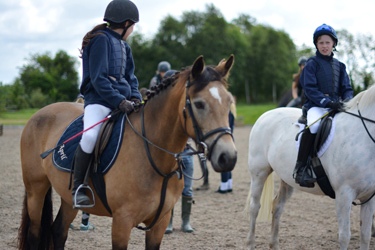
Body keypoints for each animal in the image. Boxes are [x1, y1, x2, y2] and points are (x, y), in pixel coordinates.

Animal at [18, 55, 238, 249]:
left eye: (229, 102)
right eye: (199, 104)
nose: (228, 157)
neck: (154, 156)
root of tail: (39, 113)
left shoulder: (159, 223)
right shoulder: (122, 222)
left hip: (67, 197)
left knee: (58, 231)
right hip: (36, 190)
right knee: (35, 235)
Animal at [245, 84, 375, 250]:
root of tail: (265, 114)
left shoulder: (368, 197)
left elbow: (365, 235)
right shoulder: (344, 194)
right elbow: (345, 236)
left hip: (287, 179)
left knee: (278, 206)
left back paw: (274, 245)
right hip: (259, 172)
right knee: (254, 207)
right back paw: (250, 244)